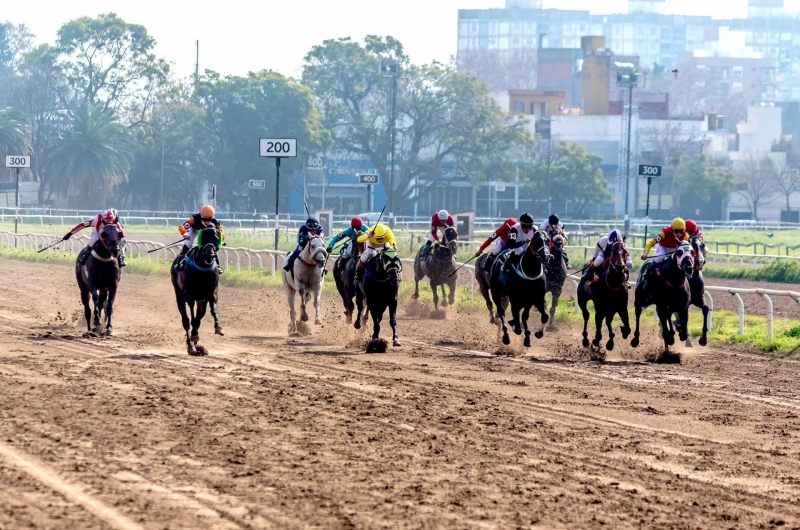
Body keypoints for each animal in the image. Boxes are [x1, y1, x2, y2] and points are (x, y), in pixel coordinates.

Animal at [170, 224, 223, 354]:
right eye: (203, 237)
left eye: (216, 238)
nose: (210, 255)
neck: (202, 267)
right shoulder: (189, 295)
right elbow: (192, 318)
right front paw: (193, 339)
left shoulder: (210, 294)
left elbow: (211, 311)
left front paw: (218, 327)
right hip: (178, 294)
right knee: (185, 320)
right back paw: (191, 346)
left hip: (200, 300)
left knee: (197, 318)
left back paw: (196, 345)